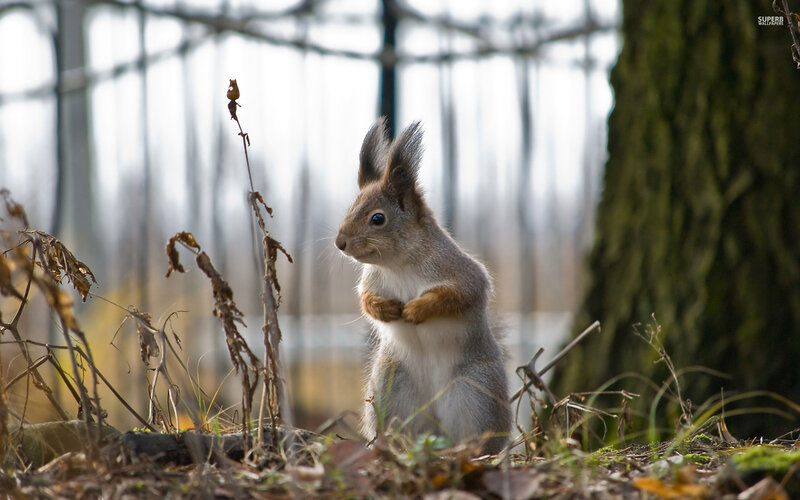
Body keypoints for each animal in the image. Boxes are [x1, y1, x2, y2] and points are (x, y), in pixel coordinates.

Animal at [335, 118, 511, 454]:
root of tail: (435, 426)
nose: (340, 243)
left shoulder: (461, 273)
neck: (399, 264)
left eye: (378, 218)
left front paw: (416, 310)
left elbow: (455, 295)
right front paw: (386, 309)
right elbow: (366, 300)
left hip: (475, 392)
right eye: (349, 208)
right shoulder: (371, 280)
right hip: (390, 388)